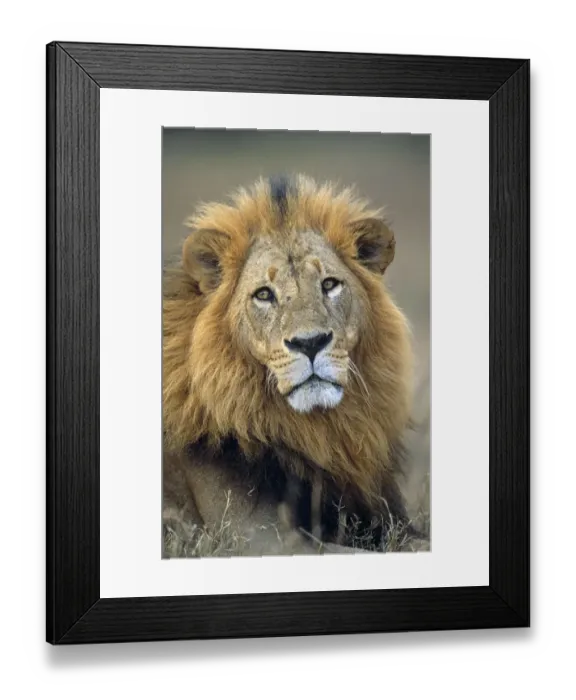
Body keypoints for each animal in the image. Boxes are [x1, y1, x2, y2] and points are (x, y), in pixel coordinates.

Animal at [162, 174, 418, 555]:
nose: (310, 343)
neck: (319, 431)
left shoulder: (390, 521)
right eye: (264, 294)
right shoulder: (262, 539)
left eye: (330, 284)